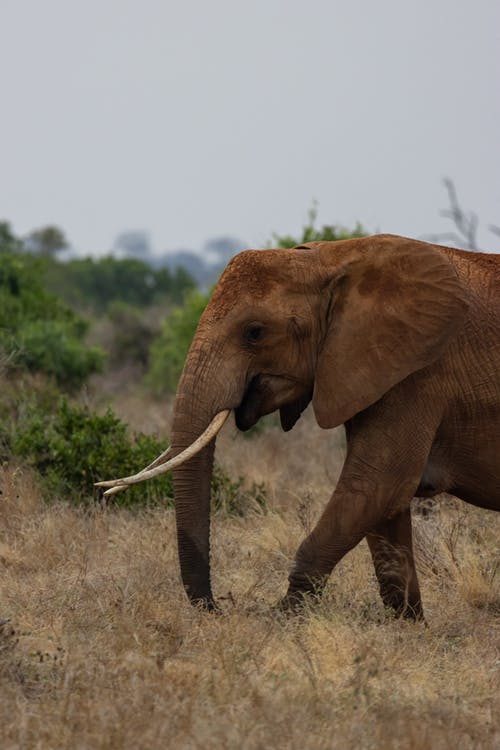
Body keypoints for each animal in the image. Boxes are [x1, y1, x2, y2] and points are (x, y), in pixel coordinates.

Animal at [97, 236, 500, 624]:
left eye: (254, 333)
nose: (218, 607)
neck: (331, 260)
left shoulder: (418, 375)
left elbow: (376, 486)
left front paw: (278, 621)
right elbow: (385, 506)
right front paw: (409, 627)